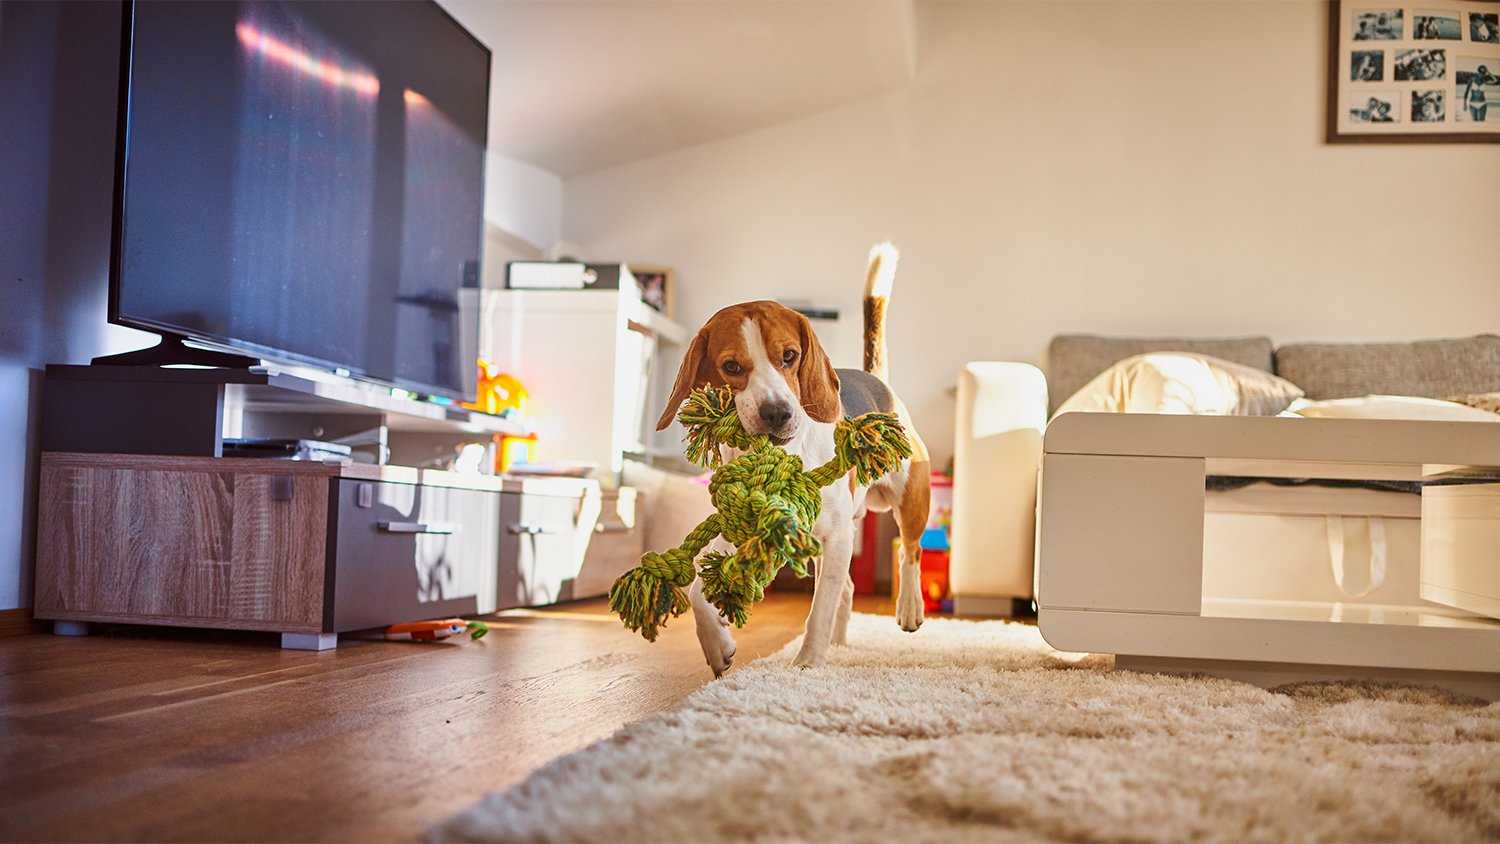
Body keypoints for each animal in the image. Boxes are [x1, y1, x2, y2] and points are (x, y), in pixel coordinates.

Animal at [663, 242, 930, 674]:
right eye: (731, 366)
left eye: (789, 356)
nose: (777, 413)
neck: (780, 456)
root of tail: (877, 380)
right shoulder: (740, 530)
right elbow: (696, 592)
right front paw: (717, 644)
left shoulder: (836, 536)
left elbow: (817, 611)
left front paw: (806, 663)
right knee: (847, 588)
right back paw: (839, 643)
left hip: (909, 497)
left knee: (910, 551)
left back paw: (908, 608)